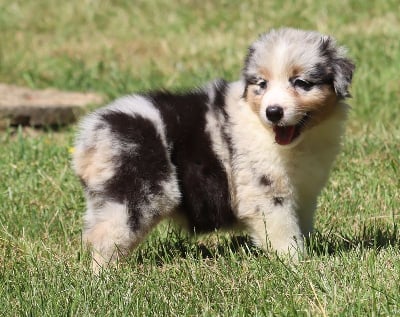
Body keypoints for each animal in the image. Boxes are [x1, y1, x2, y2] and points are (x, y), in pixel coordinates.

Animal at [72, 27, 354, 272]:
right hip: (134, 193)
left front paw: (308, 253)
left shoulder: (304, 193)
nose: (273, 112)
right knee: (106, 237)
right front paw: (296, 263)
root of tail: (90, 135)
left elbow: (302, 224)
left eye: (301, 83)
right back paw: (104, 278)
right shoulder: (266, 192)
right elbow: (283, 231)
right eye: (261, 84)